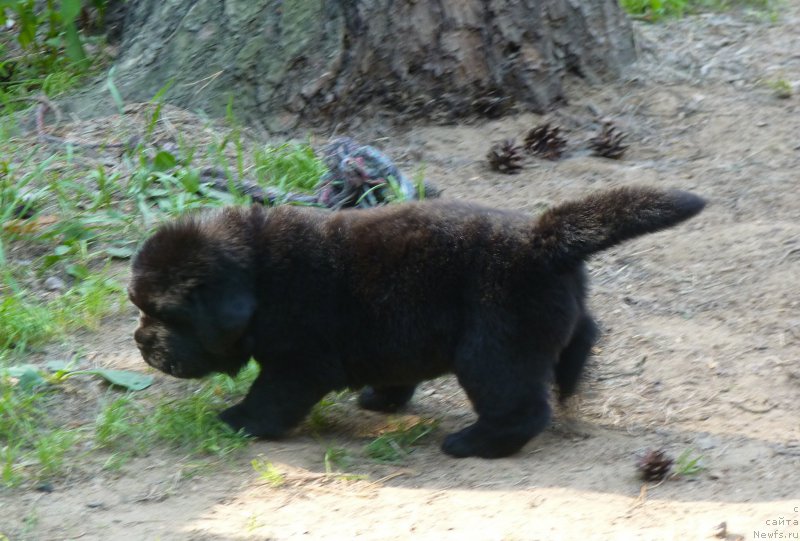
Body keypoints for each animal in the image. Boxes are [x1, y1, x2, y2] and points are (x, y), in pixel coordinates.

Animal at [128, 186, 704, 456]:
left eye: (165, 315)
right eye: (138, 306)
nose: (140, 343)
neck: (259, 275)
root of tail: (542, 240)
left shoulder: (299, 362)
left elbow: (270, 396)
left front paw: (239, 421)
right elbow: (393, 371)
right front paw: (383, 399)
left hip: (492, 351)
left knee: (521, 406)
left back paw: (476, 445)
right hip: (559, 316)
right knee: (582, 341)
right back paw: (571, 388)